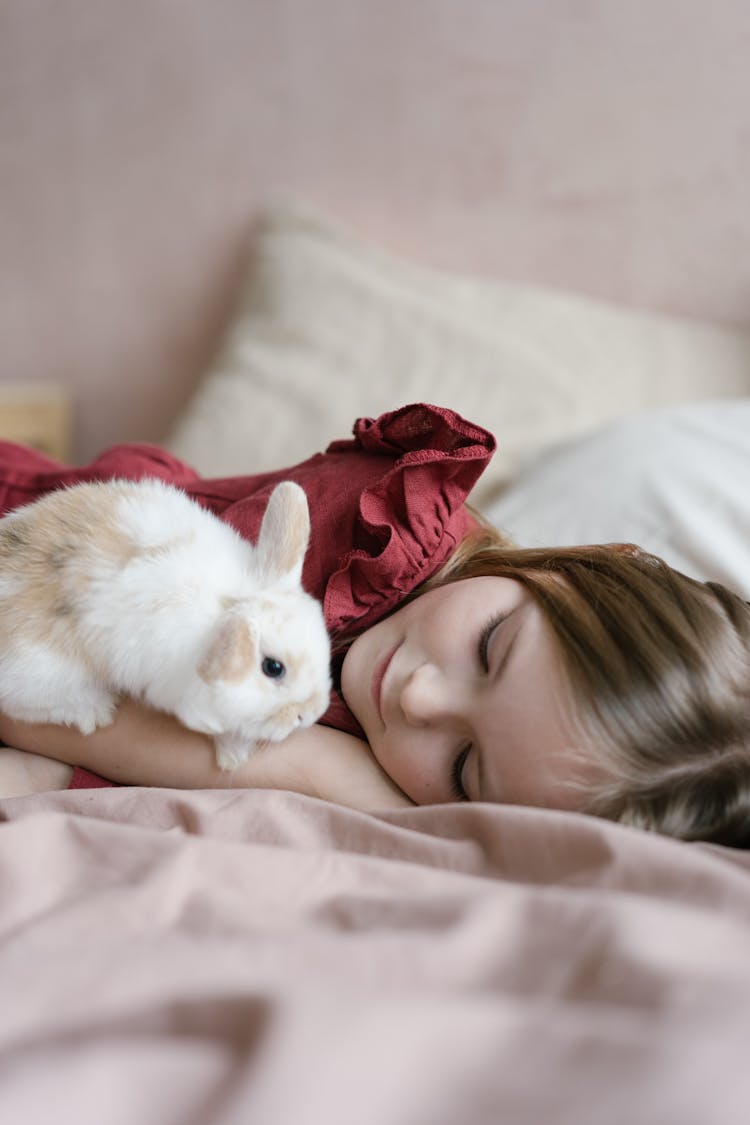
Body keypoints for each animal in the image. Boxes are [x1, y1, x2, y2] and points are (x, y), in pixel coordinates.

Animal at [0, 479, 330, 769]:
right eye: (273, 668)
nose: (311, 714)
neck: (226, 602)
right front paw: (233, 756)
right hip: (43, 672)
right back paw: (95, 710)